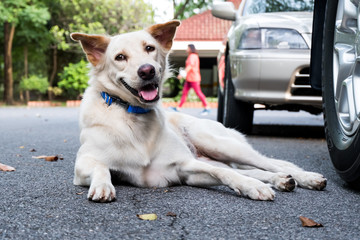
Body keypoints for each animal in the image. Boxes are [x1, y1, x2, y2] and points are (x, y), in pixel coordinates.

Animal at [70, 20, 326, 202]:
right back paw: (282, 181)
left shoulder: (186, 167)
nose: (147, 70)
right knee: (257, 170)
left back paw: (305, 178)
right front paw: (102, 185)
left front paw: (252, 188)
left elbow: (229, 175)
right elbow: (101, 166)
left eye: (150, 48)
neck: (133, 116)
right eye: (120, 57)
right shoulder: (83, 164)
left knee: (269, 164)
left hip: (219, 144)